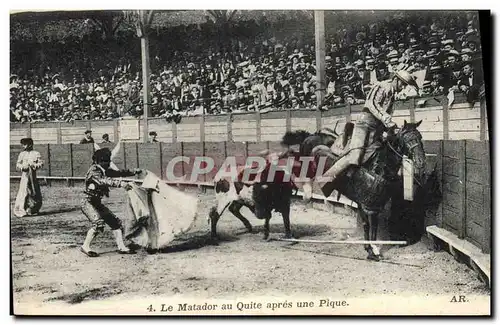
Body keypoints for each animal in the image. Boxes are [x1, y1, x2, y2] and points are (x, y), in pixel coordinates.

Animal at [284, 120, 436, 260]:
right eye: (407, 139)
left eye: (420, 137)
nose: (421, 162)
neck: (379, 166)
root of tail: (311, 135)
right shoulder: (369, 208)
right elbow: (371, 228)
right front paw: (373, 252)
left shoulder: (368, 205)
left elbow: (368, 226)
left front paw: (370, 250)